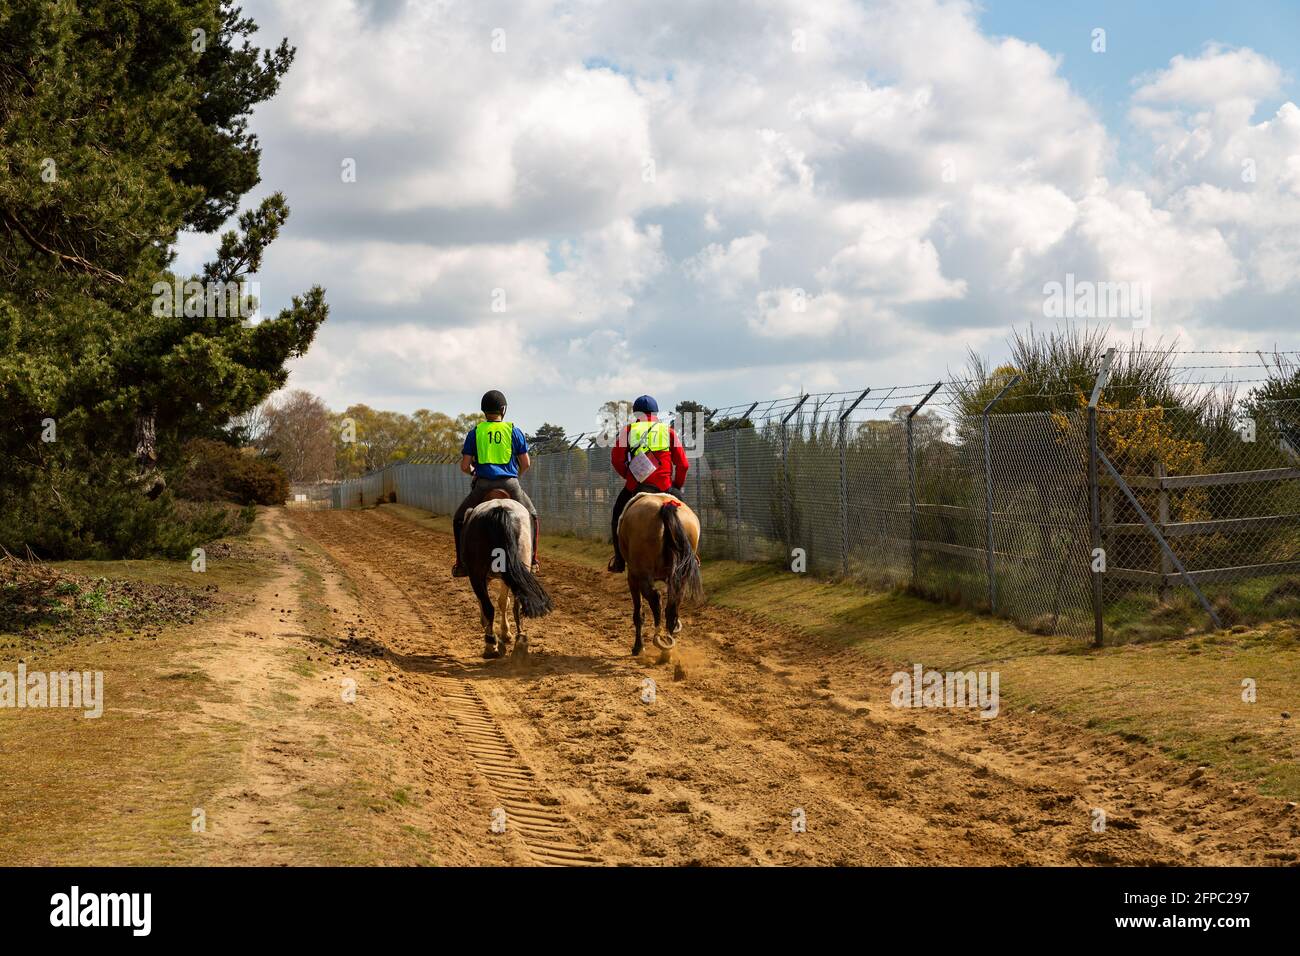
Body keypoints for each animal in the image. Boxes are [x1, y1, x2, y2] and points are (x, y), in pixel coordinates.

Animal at [616, 494, 707, 658]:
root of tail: (666, 505)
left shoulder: (632, 577)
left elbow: (638, 613)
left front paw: (638, 647)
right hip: (679, 578)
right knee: (672, 608)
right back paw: (667, 648)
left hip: (641, 575)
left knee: (655, 598)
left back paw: (657, 638)